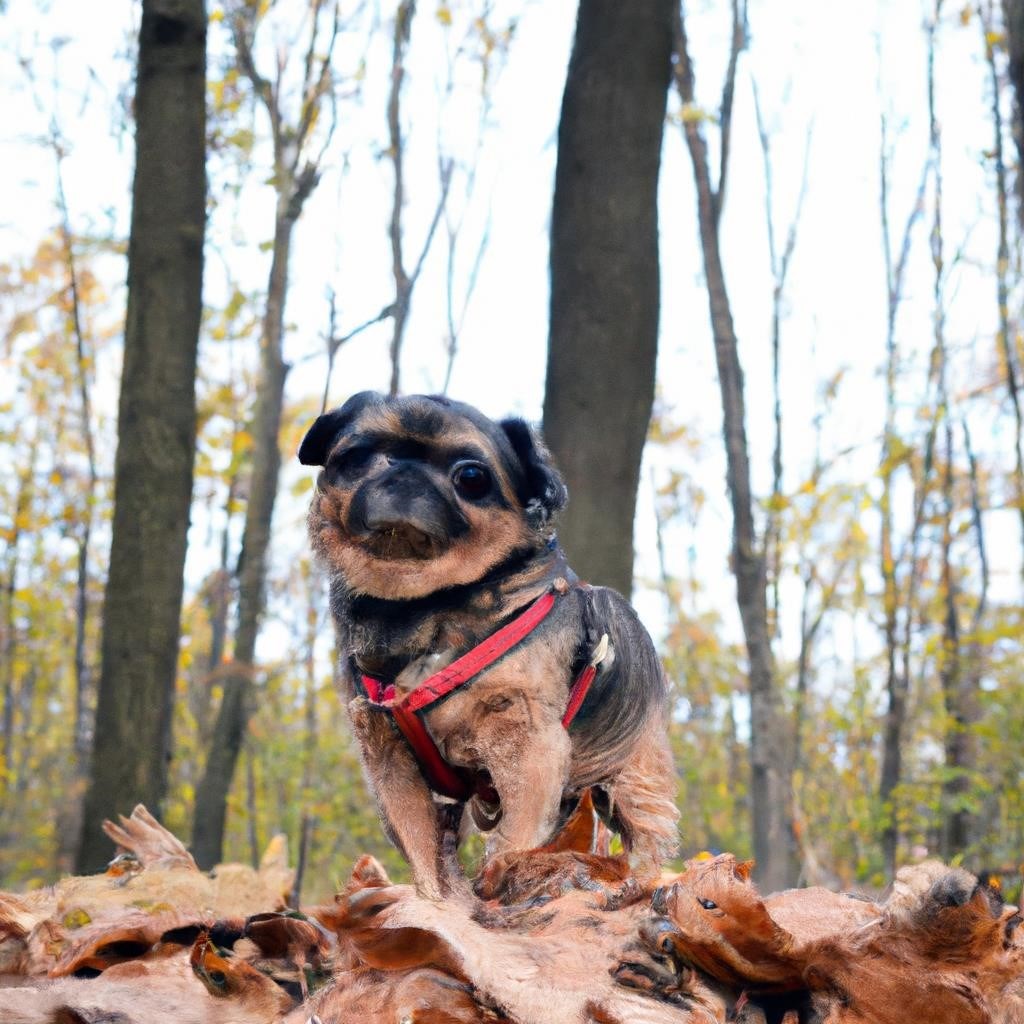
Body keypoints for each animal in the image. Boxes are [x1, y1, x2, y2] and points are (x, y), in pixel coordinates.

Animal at [296, 391, 679, 897]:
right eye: (356, 457)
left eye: (472, 477)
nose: (406, 472)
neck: (424, 605)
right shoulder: (387, 757)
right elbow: (422, 854)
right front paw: (435, 907)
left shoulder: (528, 743)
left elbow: (513, 839)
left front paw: (498, 885)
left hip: (633, 783)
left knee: (644, 839)